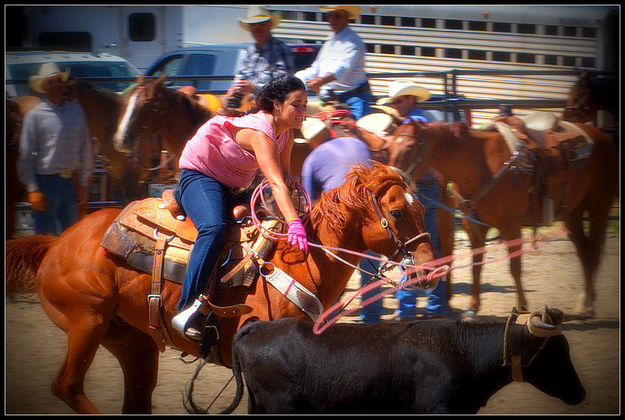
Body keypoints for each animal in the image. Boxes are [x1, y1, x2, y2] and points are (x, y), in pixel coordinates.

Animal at [4, 163, 436, 414]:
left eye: (421, 207)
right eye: (397, 211)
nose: (431, 268)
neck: (302, 261)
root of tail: (57, 242)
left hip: (131, 340)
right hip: (86, 322)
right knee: (67, 385)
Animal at [388, 120, 616, 320]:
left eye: (409, 148)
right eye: (389, 146)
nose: (391, 185)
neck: (479, 164)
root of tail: (602, 136)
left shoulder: (511, 225)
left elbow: (515, 267)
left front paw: (522, 307)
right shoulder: (473, 225)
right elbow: (476, 265)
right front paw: (472, 310)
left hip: (598, 208)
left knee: (593, 253)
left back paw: (588, 307)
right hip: (573, 214)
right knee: (585, 255)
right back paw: (584, 303)